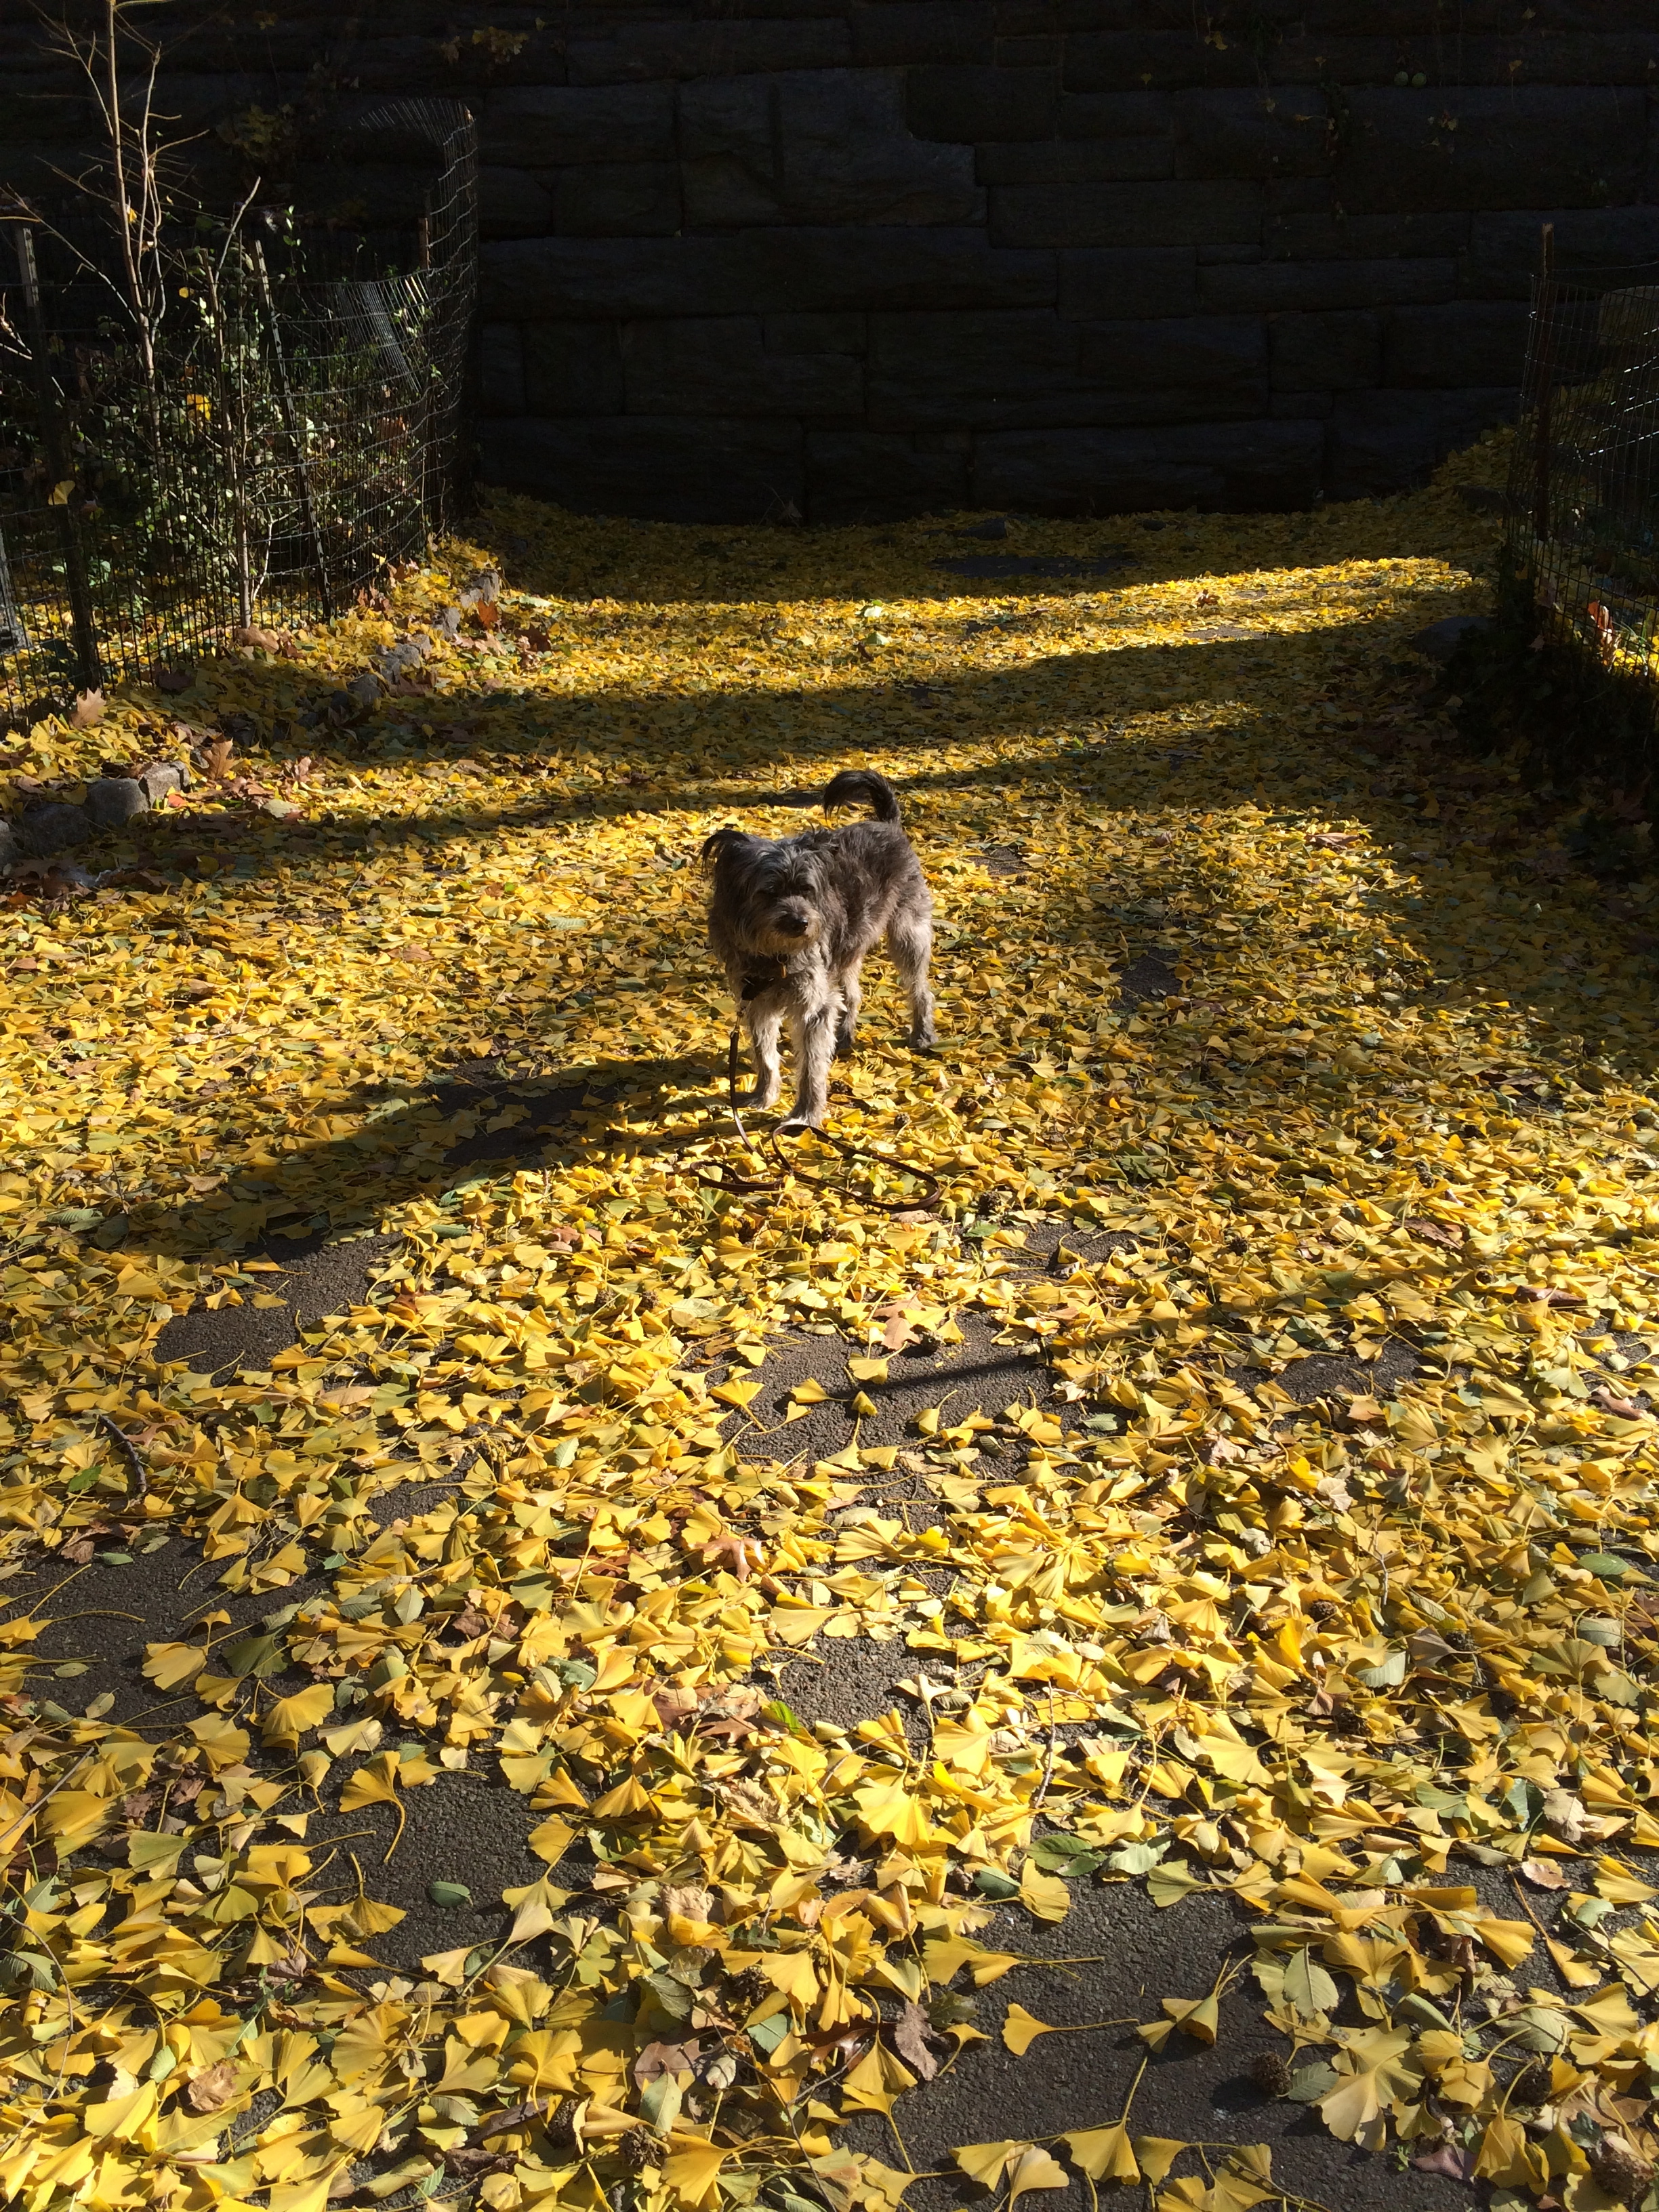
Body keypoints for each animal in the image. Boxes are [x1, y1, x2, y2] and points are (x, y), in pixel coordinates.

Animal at [703, 769, 937, 1132]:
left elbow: (811, 1069)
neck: (775, 957)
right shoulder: (755, 1003)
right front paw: (763, 1096)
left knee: (920, 989)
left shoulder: (814, 1008)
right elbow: (764, 1055)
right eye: (770, 891)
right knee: (851, 994)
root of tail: (888, 825)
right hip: (847, 948)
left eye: (806, 889)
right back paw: (844, 1035)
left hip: (908, 933)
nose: (801, 923)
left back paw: (922, 1034)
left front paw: (805, 1115)